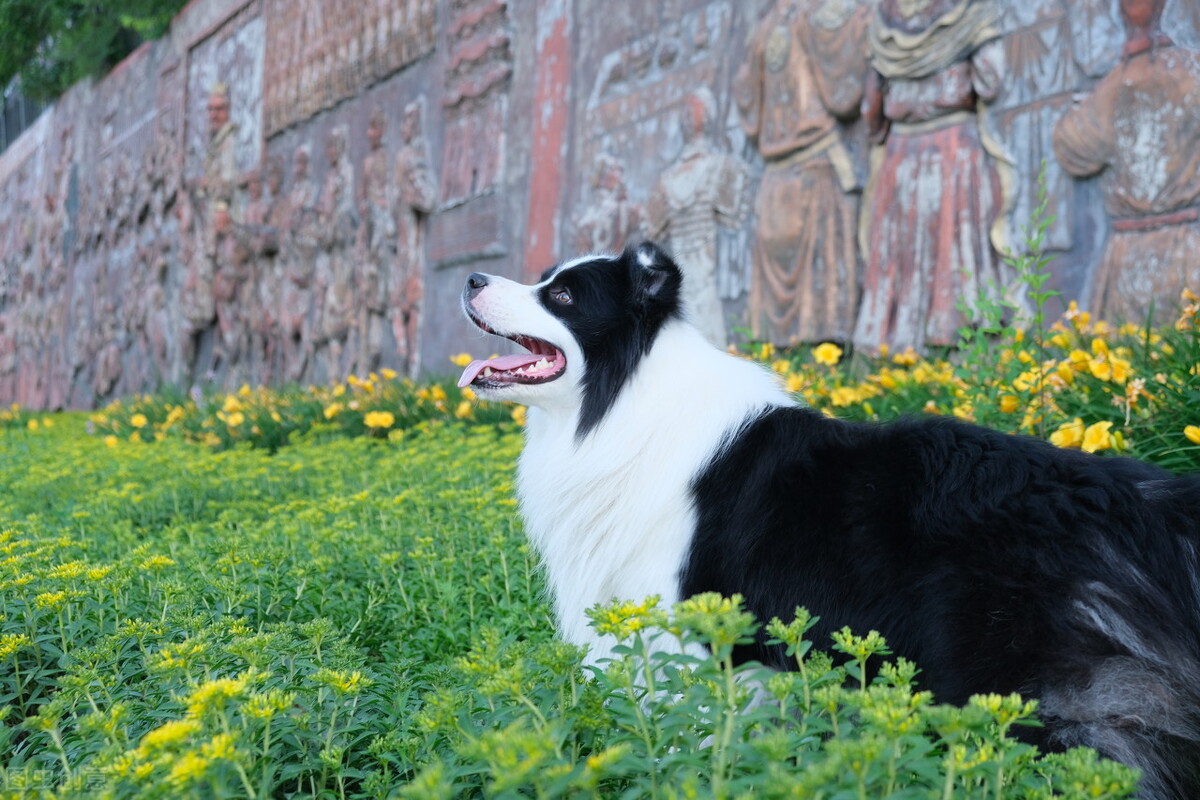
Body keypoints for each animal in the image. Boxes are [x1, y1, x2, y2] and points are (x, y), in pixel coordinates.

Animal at [458, 244, 1200, 800]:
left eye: (561, 296)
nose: (470, 278)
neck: (621, 398)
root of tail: (1147, 508)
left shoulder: (684, 633)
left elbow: (687, 738)